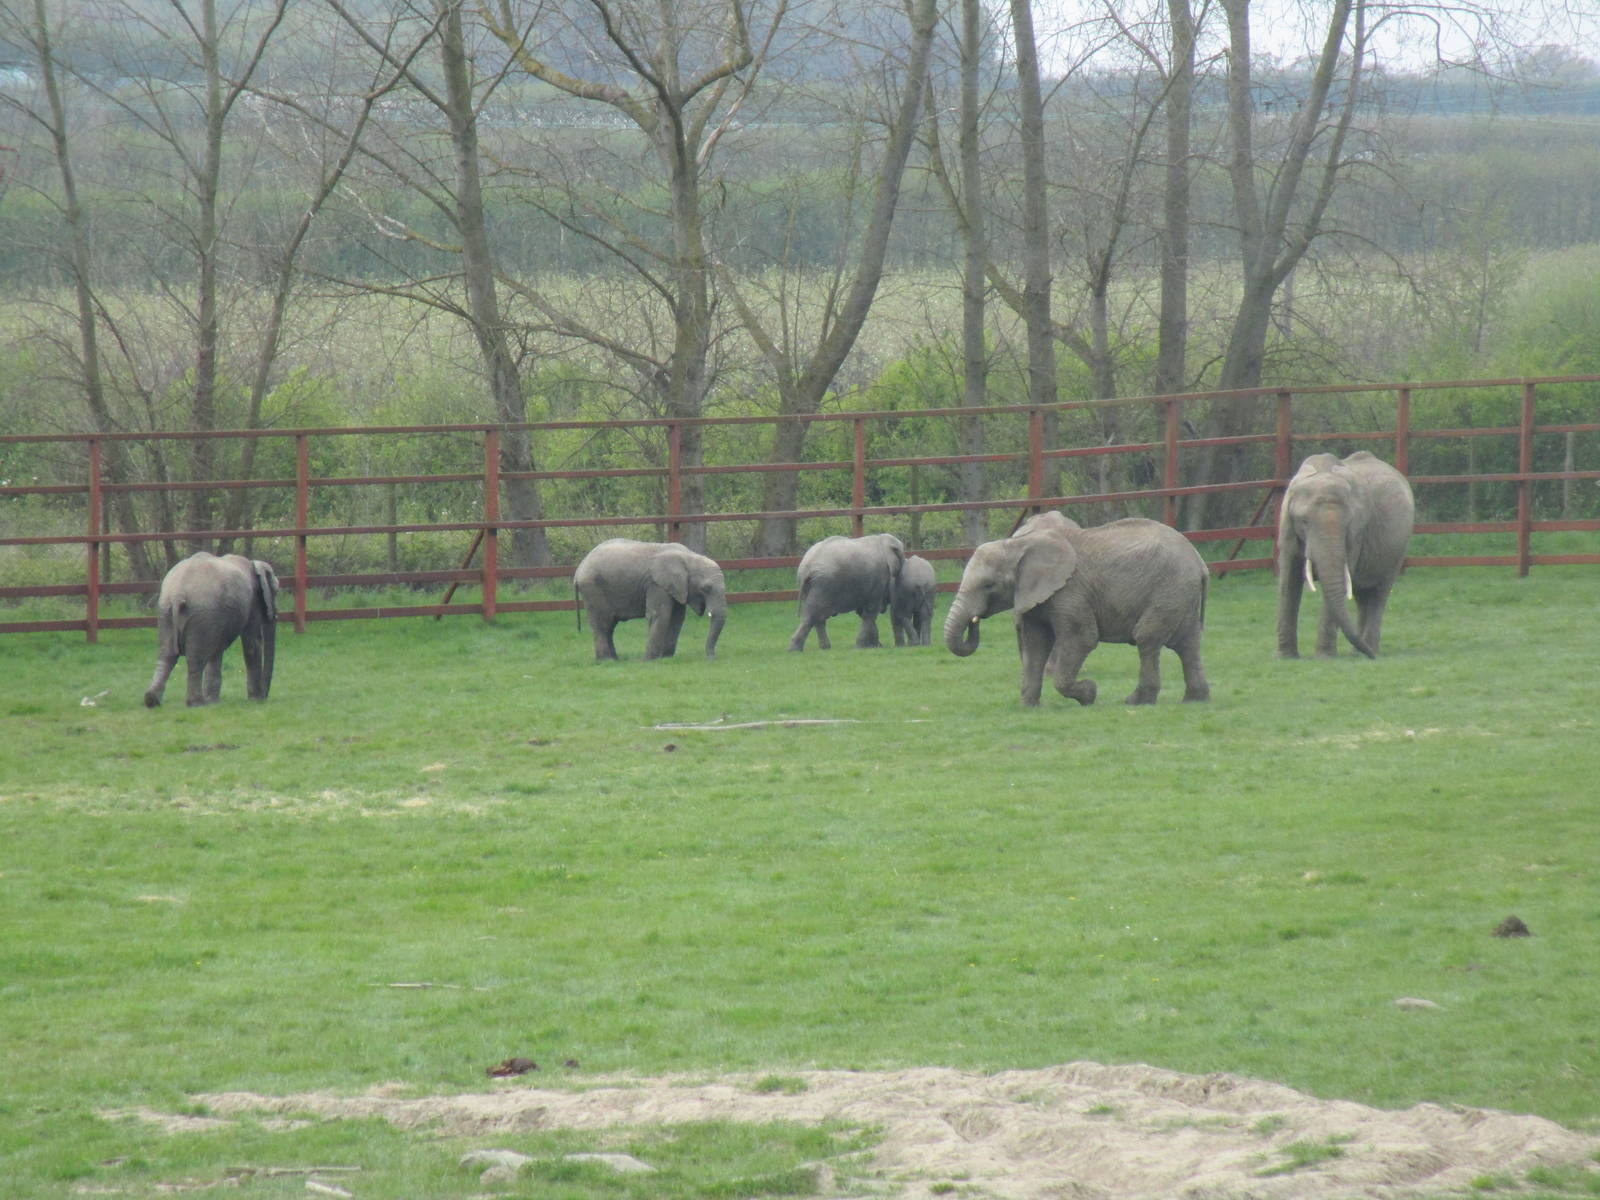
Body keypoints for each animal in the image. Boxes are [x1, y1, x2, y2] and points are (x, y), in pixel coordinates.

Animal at [144, 551, 279, 707]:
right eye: (276, 591)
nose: (265, 697)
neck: (254, 564)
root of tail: (178, 594)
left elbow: (217, 651)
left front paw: (214, 701)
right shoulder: (253, 602)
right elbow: (252, 645)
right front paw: (255, 700)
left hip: (166, 611)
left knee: (166, 655)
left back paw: (152, 700)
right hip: (201, 614)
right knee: (195, 659)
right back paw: (197, 703)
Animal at [574, 538, 727, 660]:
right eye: (706, 588)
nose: (711, 659)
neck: (689, 557)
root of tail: (578, 570)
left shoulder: (677, 587)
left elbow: (676, 618)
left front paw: (666, 658)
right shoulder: (657, 584)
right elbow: (660, 615)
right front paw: (649, 661)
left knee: (609, 626)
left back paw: (613, 659)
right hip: (593, 588)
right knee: (603, 623)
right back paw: (607, 660)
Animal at [944, 518, 1210, 707]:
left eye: (989, 585)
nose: (974, 620)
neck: (1018, 545)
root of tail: (1200, 562)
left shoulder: (1070, 591)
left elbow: (1082, 639)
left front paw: (1089, 694)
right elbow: (1035, 644)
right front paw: (1029, 707)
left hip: (1169, 589)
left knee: (1147, 638)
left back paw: (1137, 702)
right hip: (1180, 595)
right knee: (1188, 643)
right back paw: (1195, 700)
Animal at [1275, 450, 1414, 659]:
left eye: (1348, 524)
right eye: (1304, 521)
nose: (1372, 659)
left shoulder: (1356, 536)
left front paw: (1324, 658)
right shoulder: (1287, 528)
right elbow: (1288, 580)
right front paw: (1286, 657)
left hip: (1398, 549)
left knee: (1379, 593)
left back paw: (1369, 648)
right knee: (1362, 596)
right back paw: (1359, 652)